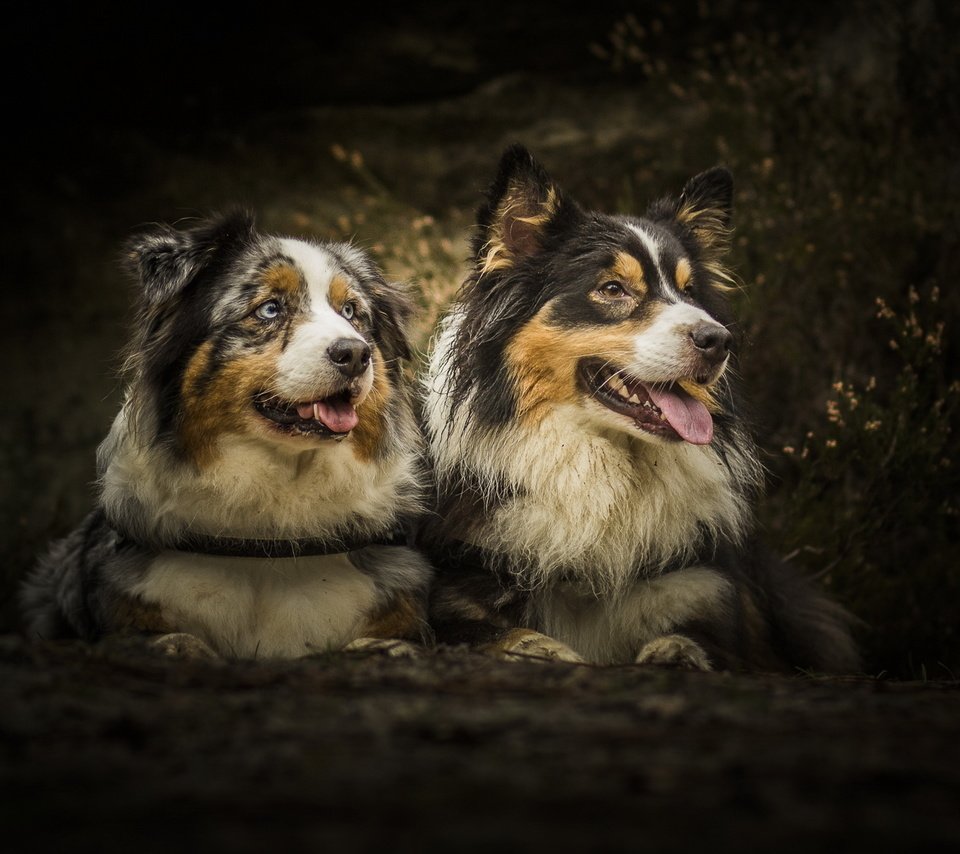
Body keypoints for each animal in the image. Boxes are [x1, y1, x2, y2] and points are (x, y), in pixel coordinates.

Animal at [424, 144, 860, 672]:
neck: (609, 466)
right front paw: (539, 647)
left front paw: (674, 652)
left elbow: (698, 641)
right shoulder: (458, 591)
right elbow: (490, 633)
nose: (719, 340)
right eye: (613, 289)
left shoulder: (707, 591)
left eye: (690, 292)